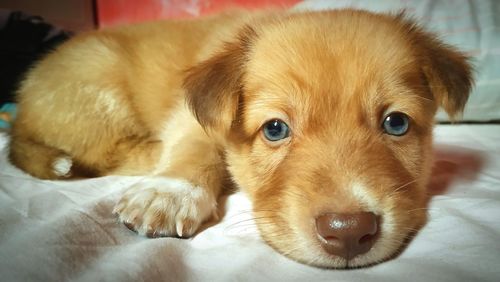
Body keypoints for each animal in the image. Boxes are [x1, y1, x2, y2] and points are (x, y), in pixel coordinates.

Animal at [8, 9, 472, 268]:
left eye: (396, 123)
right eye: (275, 129)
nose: (348, 232)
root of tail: (20, 113)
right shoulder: (191, 117)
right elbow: (195, 150)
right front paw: (170, 193)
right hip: (97, 85)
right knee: (106, 152)